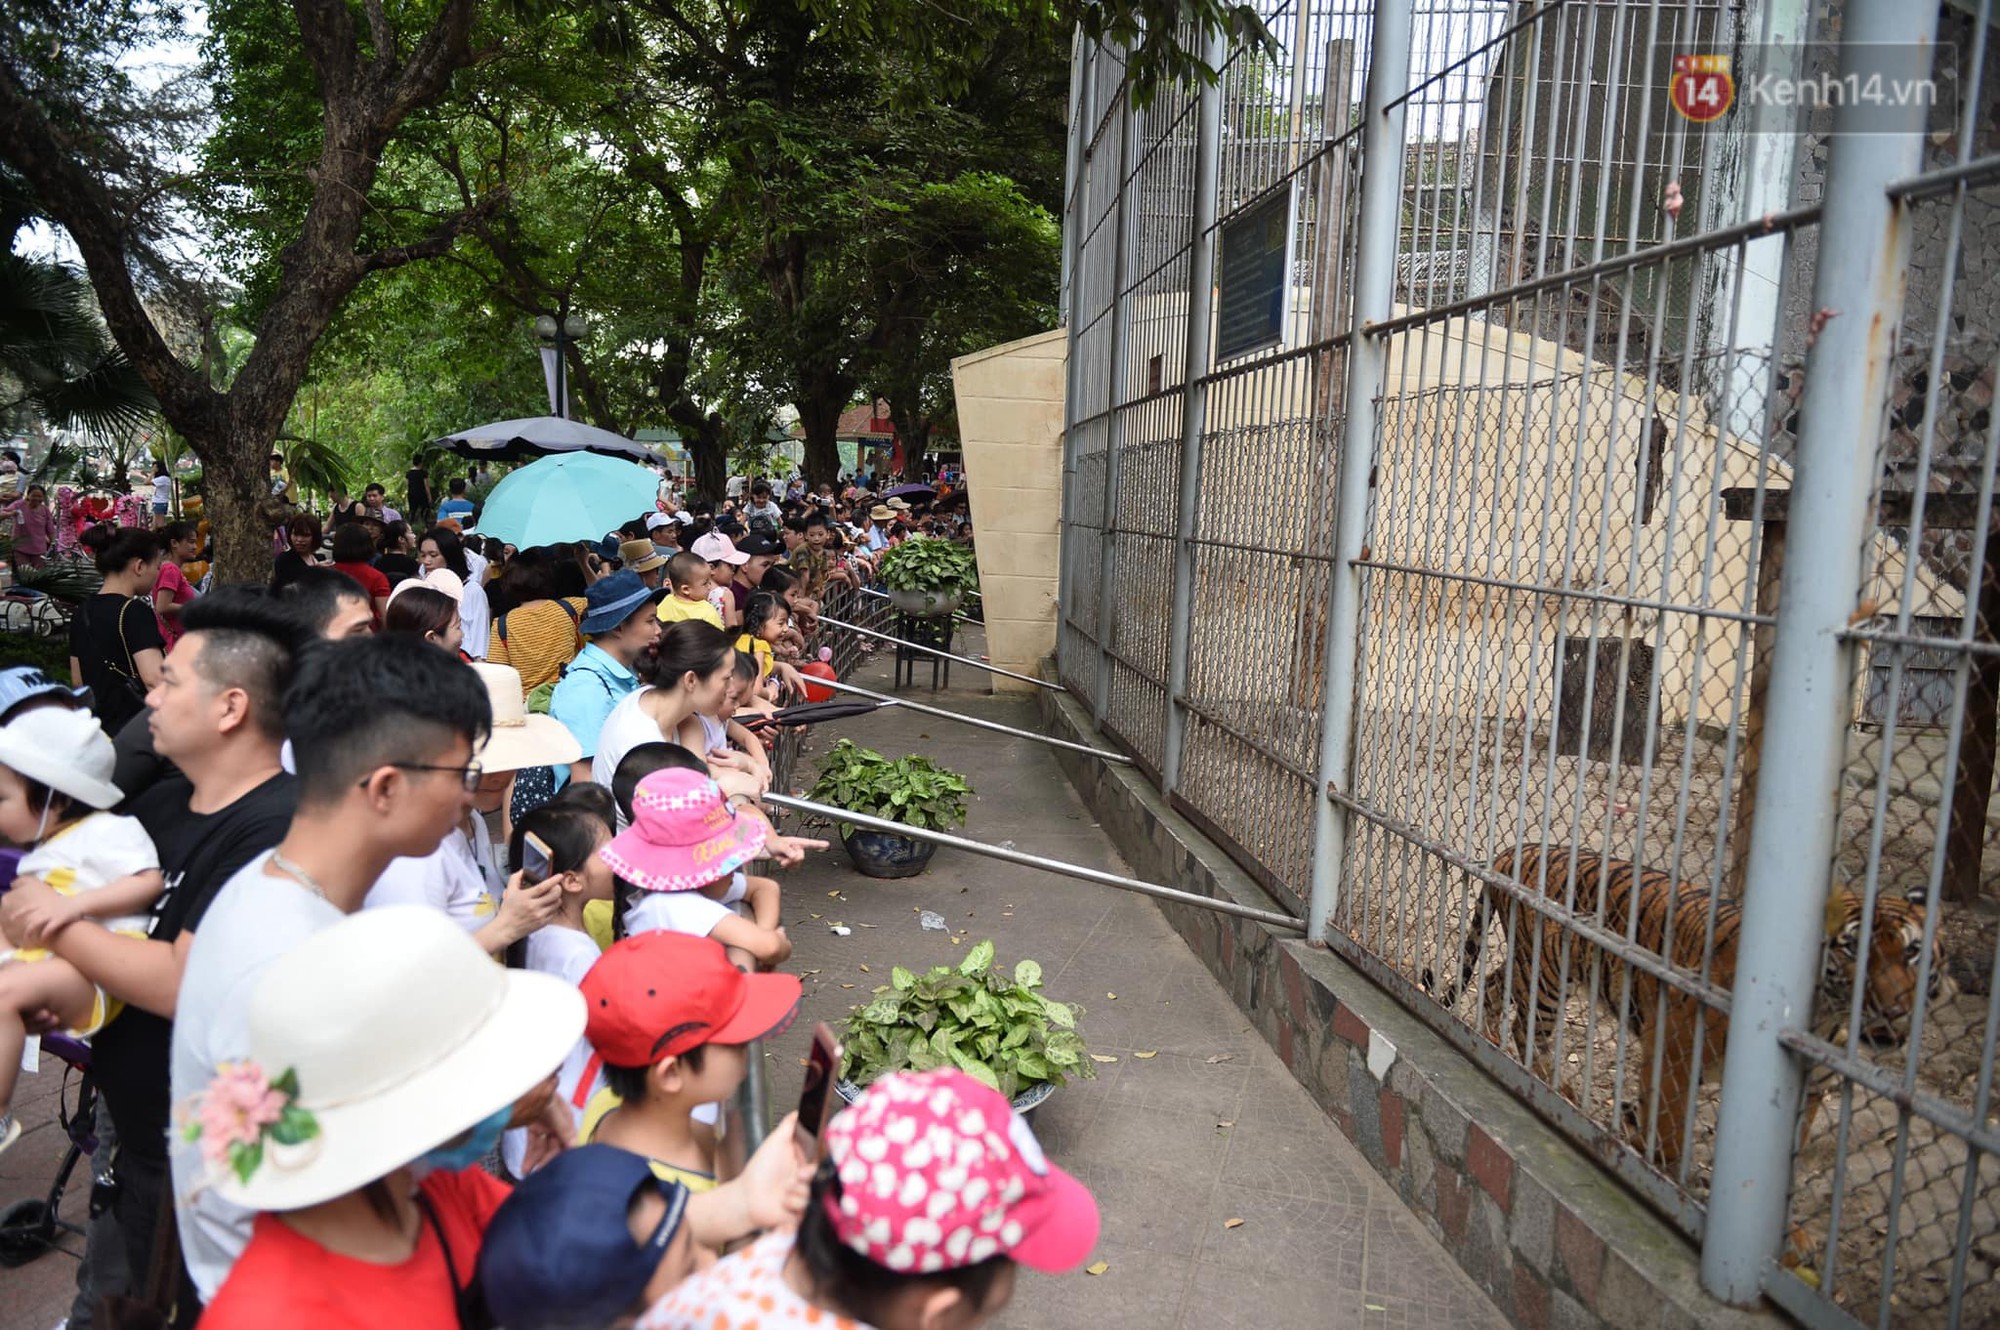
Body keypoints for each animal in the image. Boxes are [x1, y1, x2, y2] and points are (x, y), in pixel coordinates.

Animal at [1416, 844, 1944, 1168]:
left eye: (1913, 952)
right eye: (1852, 949)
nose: (1894, 1011)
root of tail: (1514, 850)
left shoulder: (1807, 1092)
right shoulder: (1671, 1050)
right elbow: (1668, 1133)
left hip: (1533, 967)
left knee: (1493, 985)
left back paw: (1501, 1049)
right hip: (1546, 974)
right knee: (1525, 1025)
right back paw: (1550, 1083)